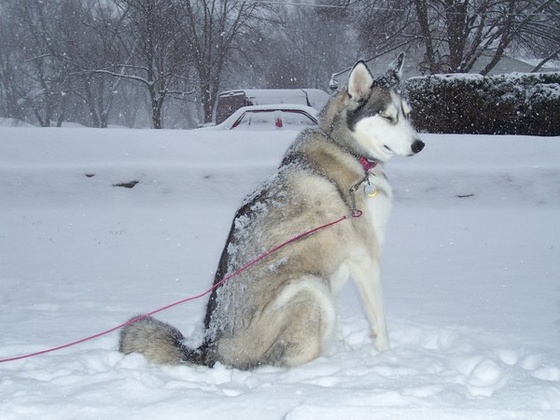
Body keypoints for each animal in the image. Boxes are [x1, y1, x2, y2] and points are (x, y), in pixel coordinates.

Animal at [119, 53, 424, 370]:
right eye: (387, 116)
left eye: (408, 113)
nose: (419, 145)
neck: (347, 149)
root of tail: (208, 349)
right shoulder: (366, 257)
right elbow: (380, 322)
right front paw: (388, 357)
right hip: (309, 287)